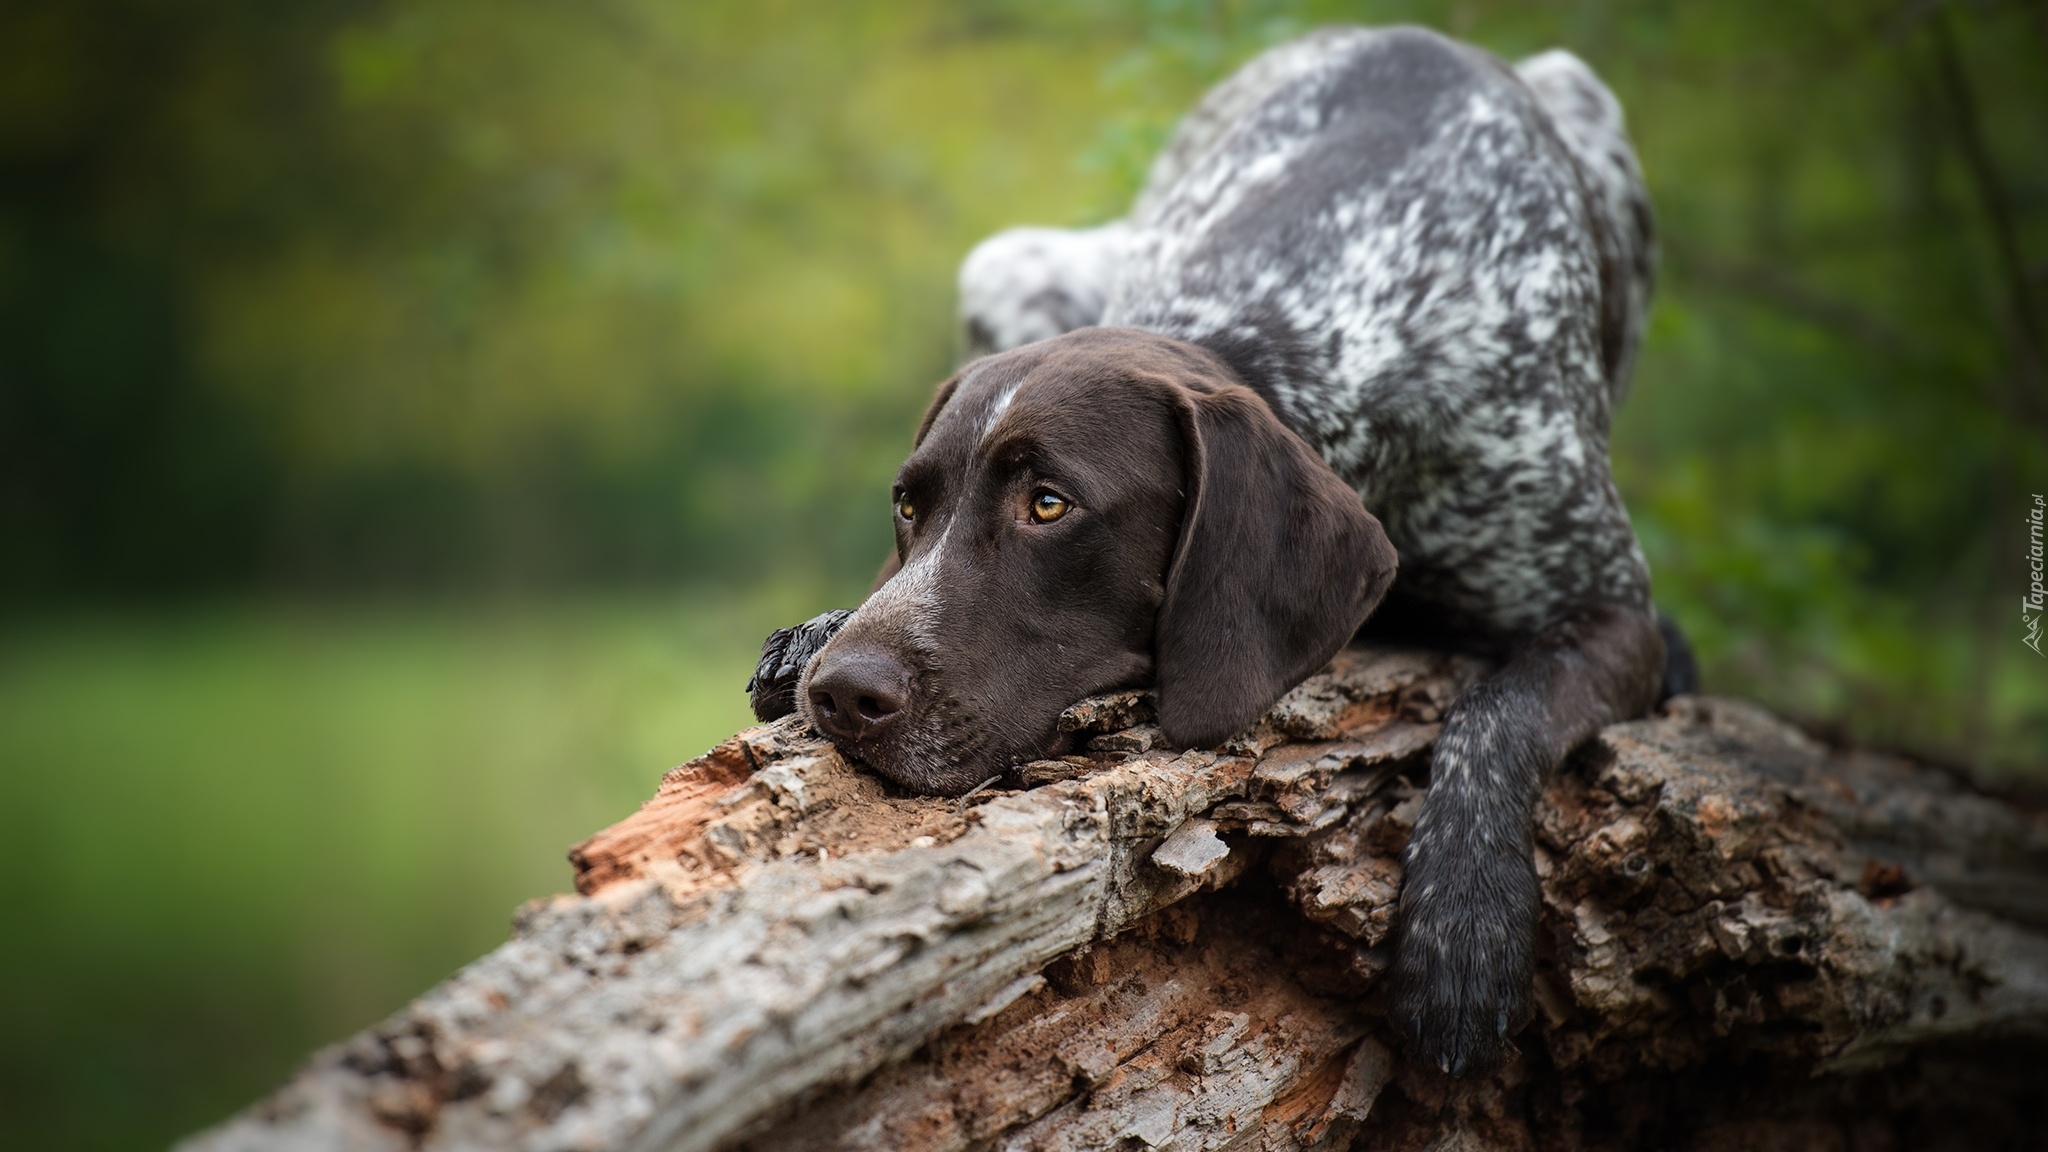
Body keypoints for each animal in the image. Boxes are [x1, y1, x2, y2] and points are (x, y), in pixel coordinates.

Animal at [745, 26, 1687, 1074]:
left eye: (1048, 505)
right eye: (910, 504)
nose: (842, 694)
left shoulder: (1617, 613)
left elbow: (1500, 709)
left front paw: (1467, 928)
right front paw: (814, 632)